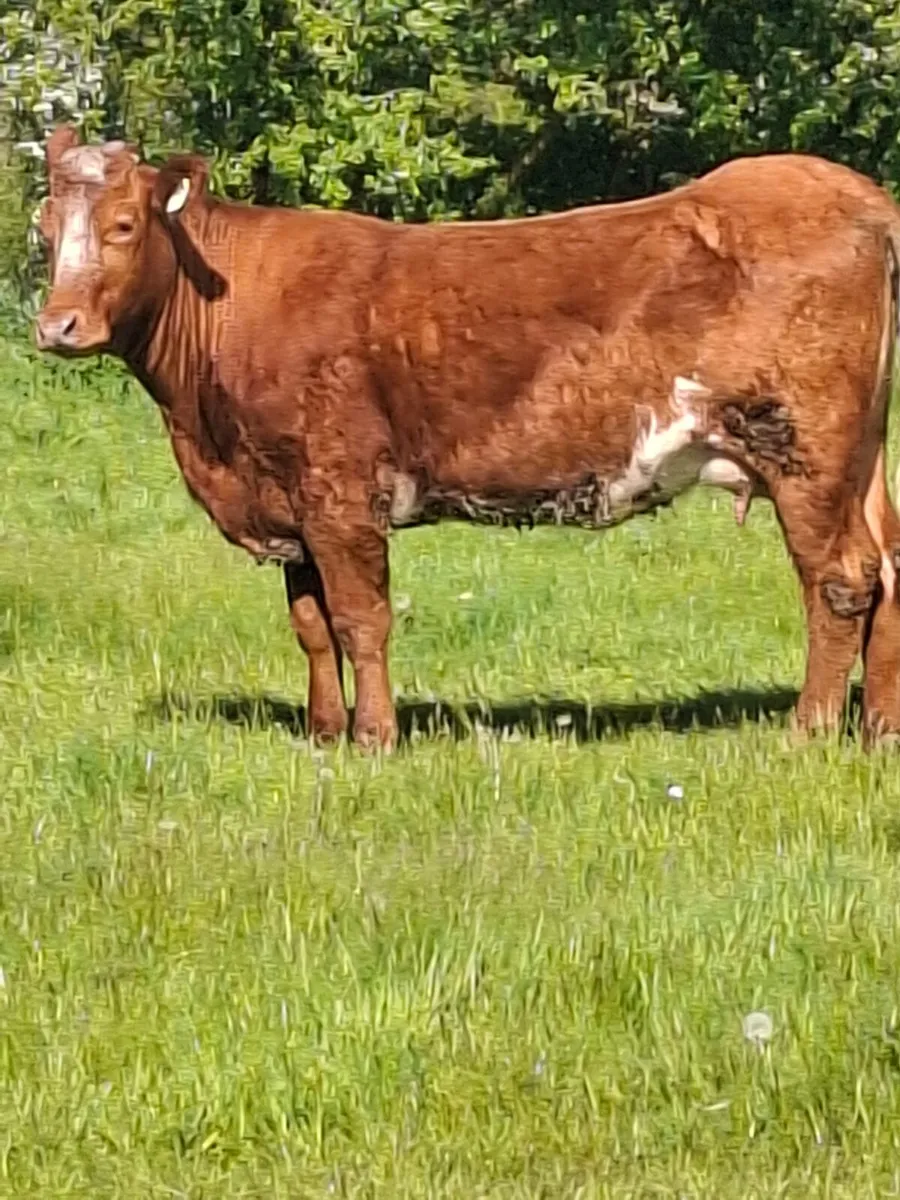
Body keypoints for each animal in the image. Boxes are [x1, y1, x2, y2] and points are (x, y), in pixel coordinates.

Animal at [33, 122, 900, 751]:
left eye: (122, 225)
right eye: (44, 230)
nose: (57, 326)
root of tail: (848, 189)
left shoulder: (339, 489)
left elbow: (361, 619)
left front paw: (375, 738)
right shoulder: (286, 499)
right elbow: (311, 624)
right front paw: (322, 734)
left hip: (802, 444)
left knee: (841, 577)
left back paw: (808, 733)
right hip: (861, 455)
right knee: (887, 566)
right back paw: (879, 730)